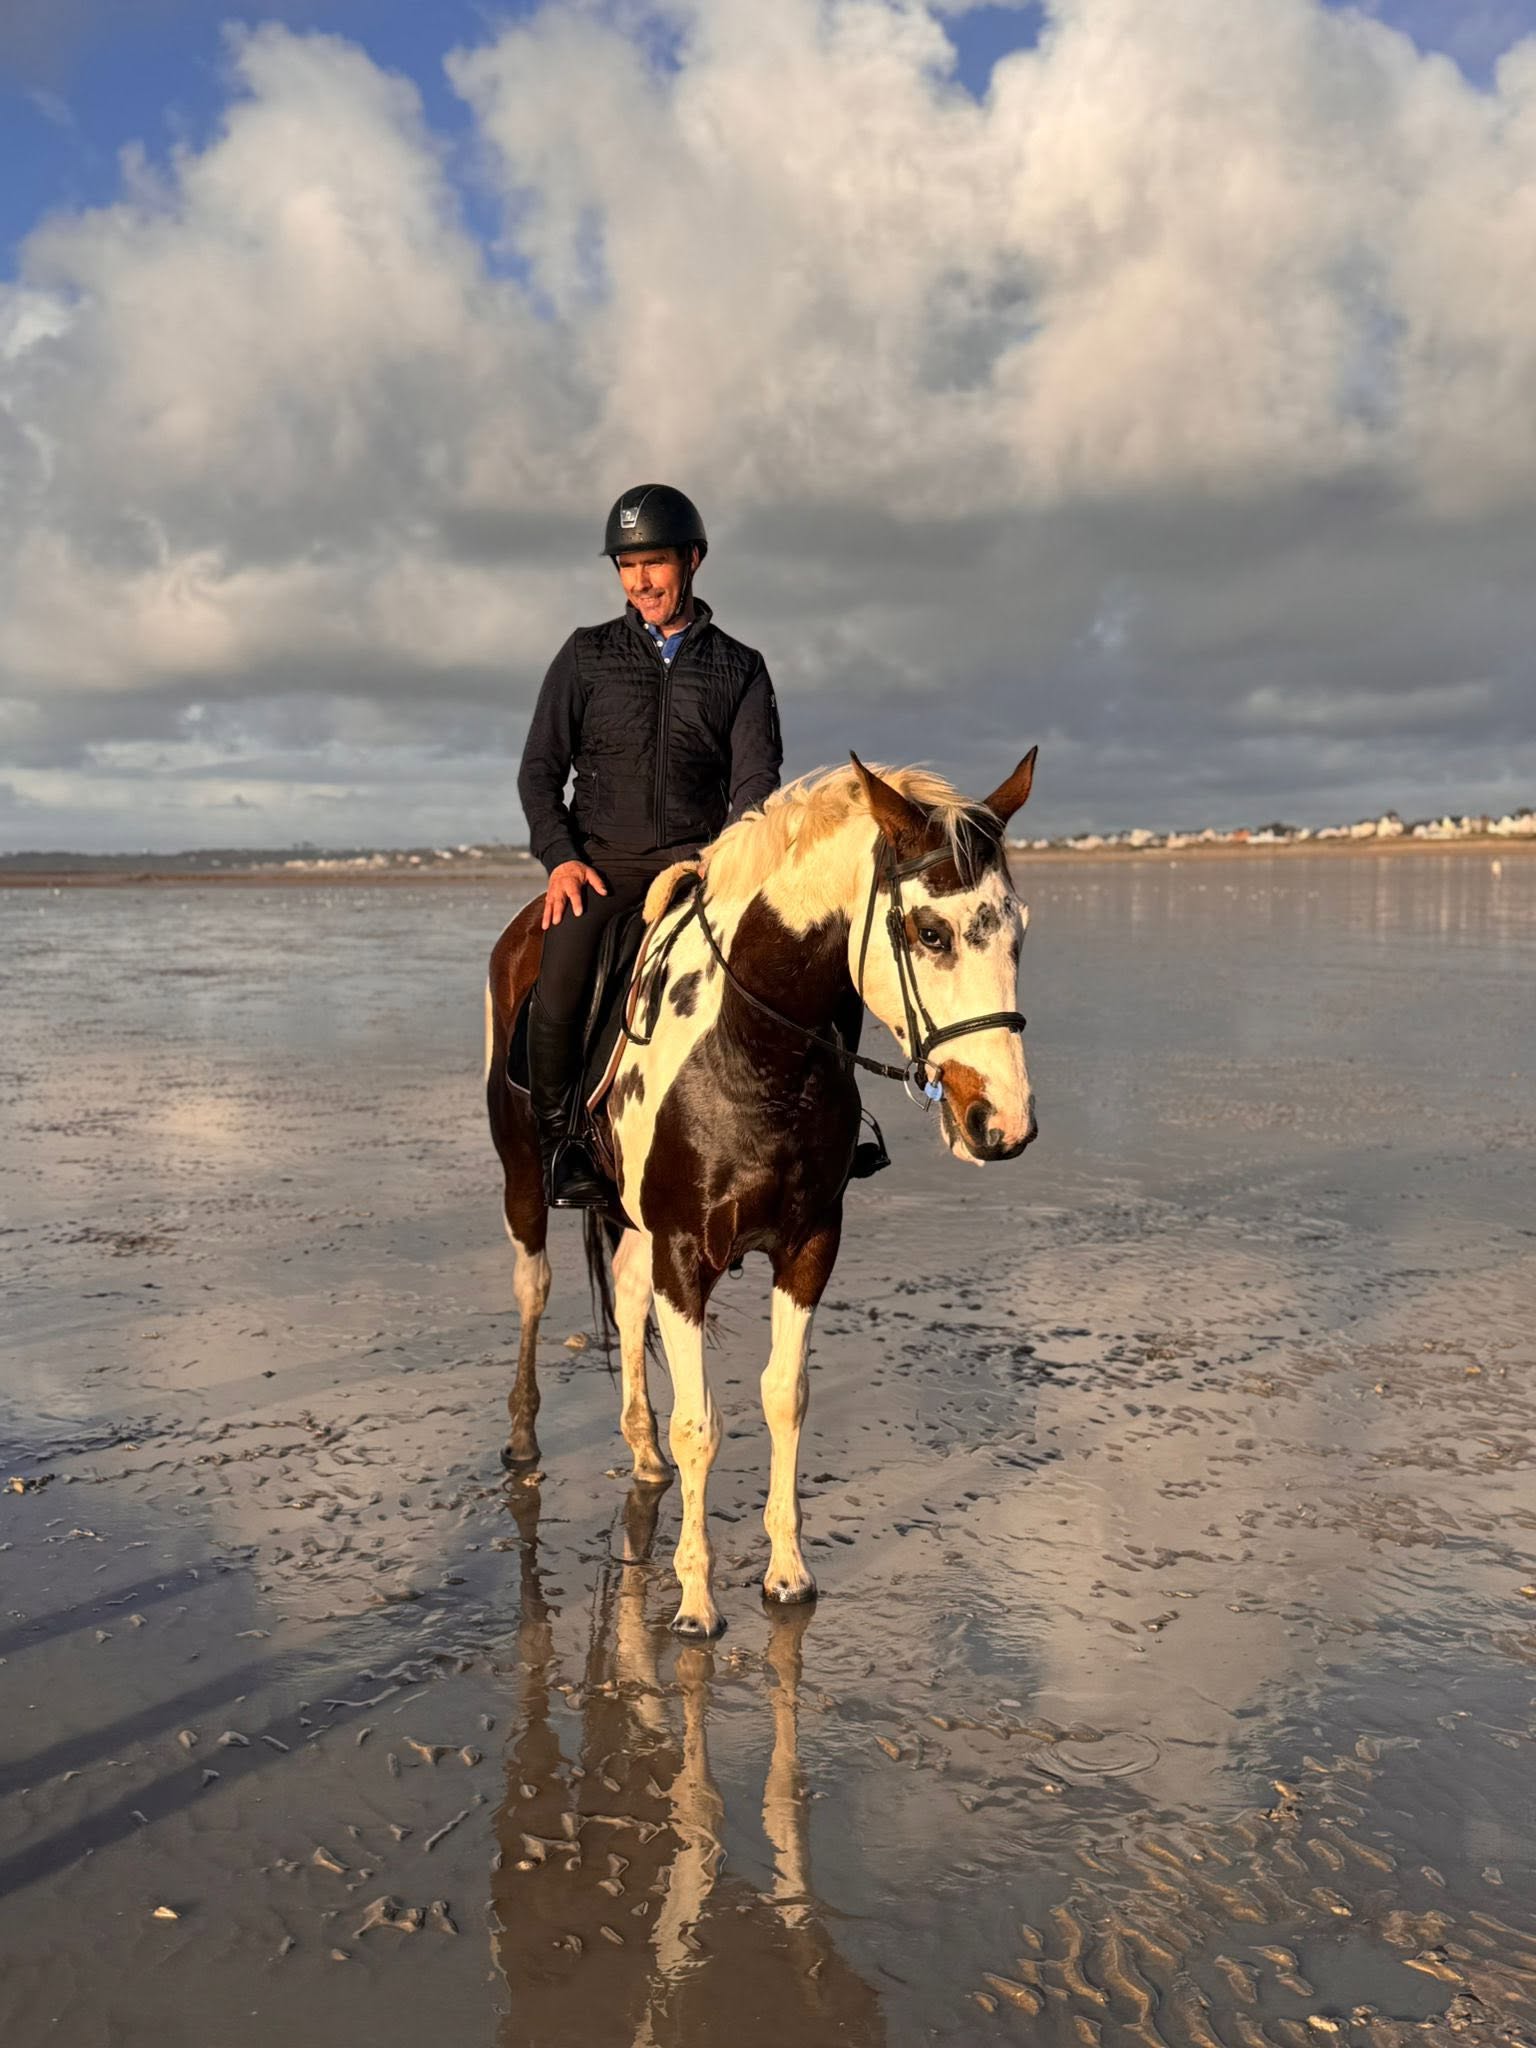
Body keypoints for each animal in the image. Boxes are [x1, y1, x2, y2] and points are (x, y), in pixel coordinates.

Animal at [485, 749, 1039, 1637]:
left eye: (1017, 930)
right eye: (931, 932)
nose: (1004, 1122)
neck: (755, 1051)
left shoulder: (808, 1244)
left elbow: (785, 1396)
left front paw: (786, 1572)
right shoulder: (684, 1254)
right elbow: (700, 1423)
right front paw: (695, 1601)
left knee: (627, 1297)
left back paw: (640, 1449)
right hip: (524, 1176)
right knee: (532, 1286)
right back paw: (526, 1437)